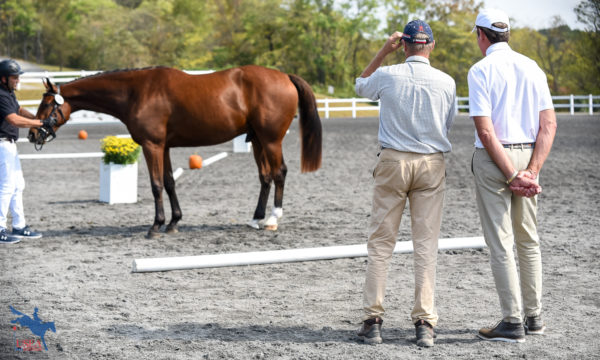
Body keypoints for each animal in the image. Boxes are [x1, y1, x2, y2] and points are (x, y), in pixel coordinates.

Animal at [30, 65, 322, 238]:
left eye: (47, 104)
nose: (33, 134)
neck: (136, 92)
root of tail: (284, 76)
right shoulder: (165, 147)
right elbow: (170, 183)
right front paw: (173, 222)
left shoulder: (152, 146)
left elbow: (156, 185)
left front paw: (156, 226)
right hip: (258, 140)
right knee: (265, 177)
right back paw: (255, 219)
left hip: (271, 140)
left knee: (279, 173)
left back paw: (273, 220)